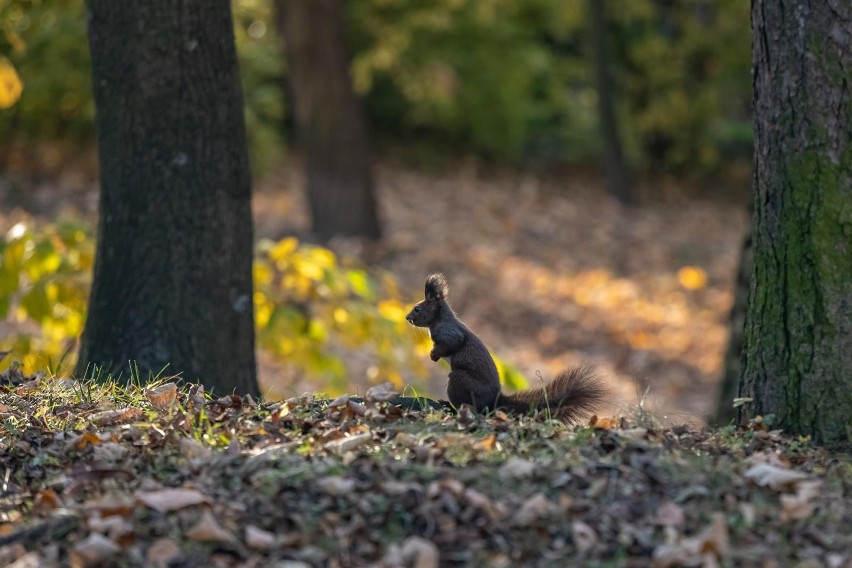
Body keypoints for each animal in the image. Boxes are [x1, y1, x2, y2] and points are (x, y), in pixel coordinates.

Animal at [404, 272, 604, 424]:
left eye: (417, 309)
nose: (407, 318)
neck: (439, 319)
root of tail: (495, 400)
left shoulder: (448, 332)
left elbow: (453, 342)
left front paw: (433, 355)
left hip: (460, 381)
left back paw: (449, 406)